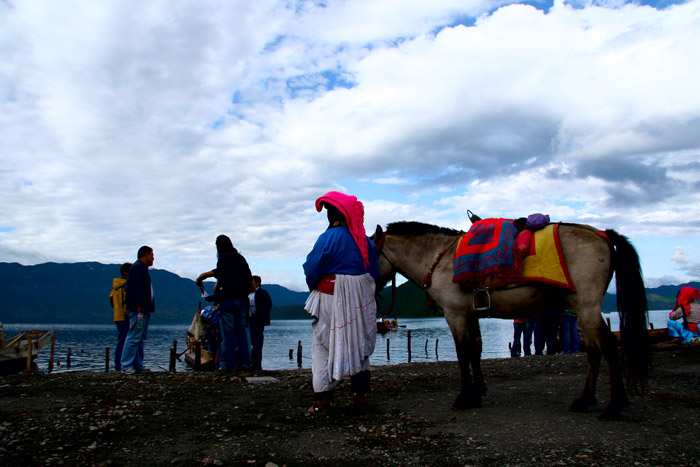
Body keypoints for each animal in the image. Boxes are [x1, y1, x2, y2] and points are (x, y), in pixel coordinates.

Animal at [374, 220, 648, 420]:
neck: (439, 258)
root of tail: (601, 234)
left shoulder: (455, 314)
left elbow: (463, 354)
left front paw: (465, 397)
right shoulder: (471, 315)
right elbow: (475, 351)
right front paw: (478, 392)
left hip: (588, 307)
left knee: (609, 347)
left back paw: (614, 406)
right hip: (582, 308)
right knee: (593, 351)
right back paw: (585, 400)